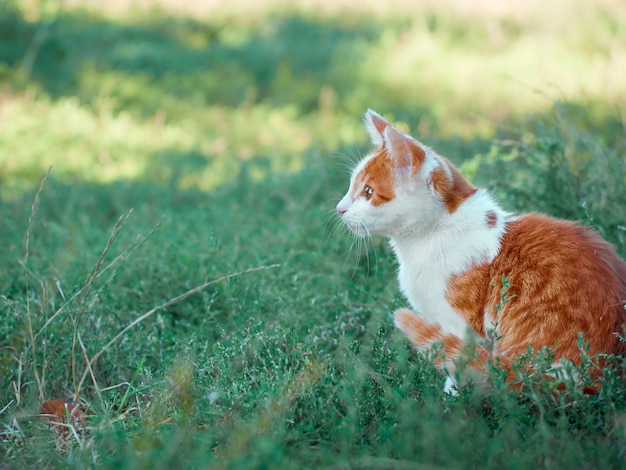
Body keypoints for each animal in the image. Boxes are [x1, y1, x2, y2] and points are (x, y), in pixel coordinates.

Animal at [336, 110, 624, 392]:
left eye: (368, 192)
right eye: (350, 187)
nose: (339, 208)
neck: (433, 234)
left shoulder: (462, 326)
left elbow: (459, 361)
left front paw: (452, 398)